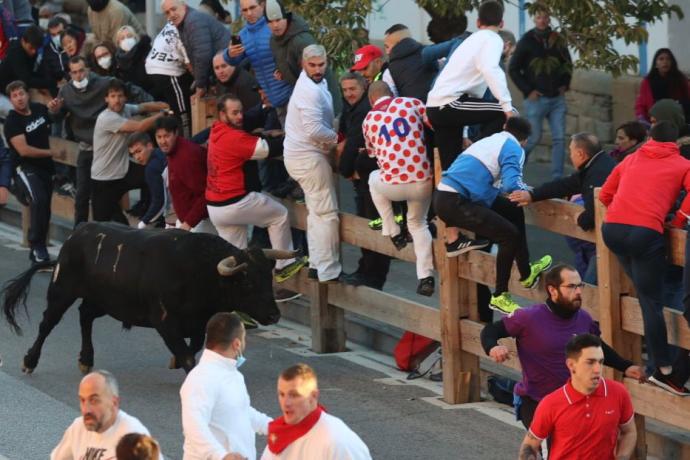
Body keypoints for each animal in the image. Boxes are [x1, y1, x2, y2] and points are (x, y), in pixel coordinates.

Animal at [0, 222, 292, 374]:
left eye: (268, 277)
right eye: (248, 281)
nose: (274, 314)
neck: (199, 270)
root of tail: (79, 230)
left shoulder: (198, 322)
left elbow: (194, 347)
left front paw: (176, 361)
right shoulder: (165, 321)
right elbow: (188, 356)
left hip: (105, 300)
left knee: (85, 316)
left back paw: (86, 359)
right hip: (62, 289)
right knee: (48, 323)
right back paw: (30, 361)